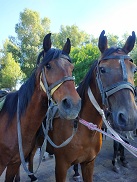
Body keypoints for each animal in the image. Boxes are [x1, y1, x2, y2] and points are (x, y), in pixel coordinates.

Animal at [23, 30, 137, 181]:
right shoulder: (61, 167)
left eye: (134, 70)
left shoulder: (89, 163)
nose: (129, 118)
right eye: (102, 69)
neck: (81, 128)